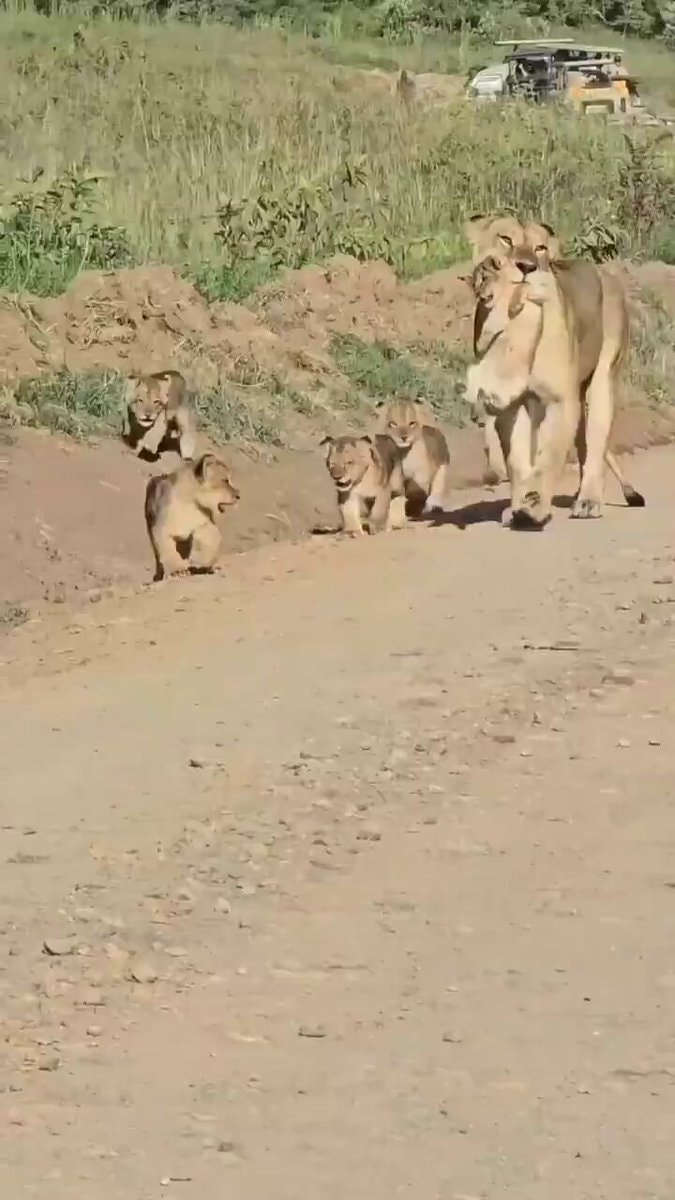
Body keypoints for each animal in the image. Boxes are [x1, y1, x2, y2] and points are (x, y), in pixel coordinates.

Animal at [144, 452, 239, 582]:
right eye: (225, 480)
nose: (238, 495)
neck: (191, 503)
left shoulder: (205, 523)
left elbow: (210, 539)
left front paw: (201, 563)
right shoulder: (160, 529)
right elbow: (168, 551)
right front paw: (178, 570)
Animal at [464, 213, 645, 526]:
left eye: (540, 248)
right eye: (506, 239)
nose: (526, 267)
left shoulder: (561, 401)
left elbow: (548, 457)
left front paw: (534, 507)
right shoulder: (512, 406)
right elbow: (517, 460)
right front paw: (517, 506)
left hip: (601, 382)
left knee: (595, 444)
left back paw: (588, 501)